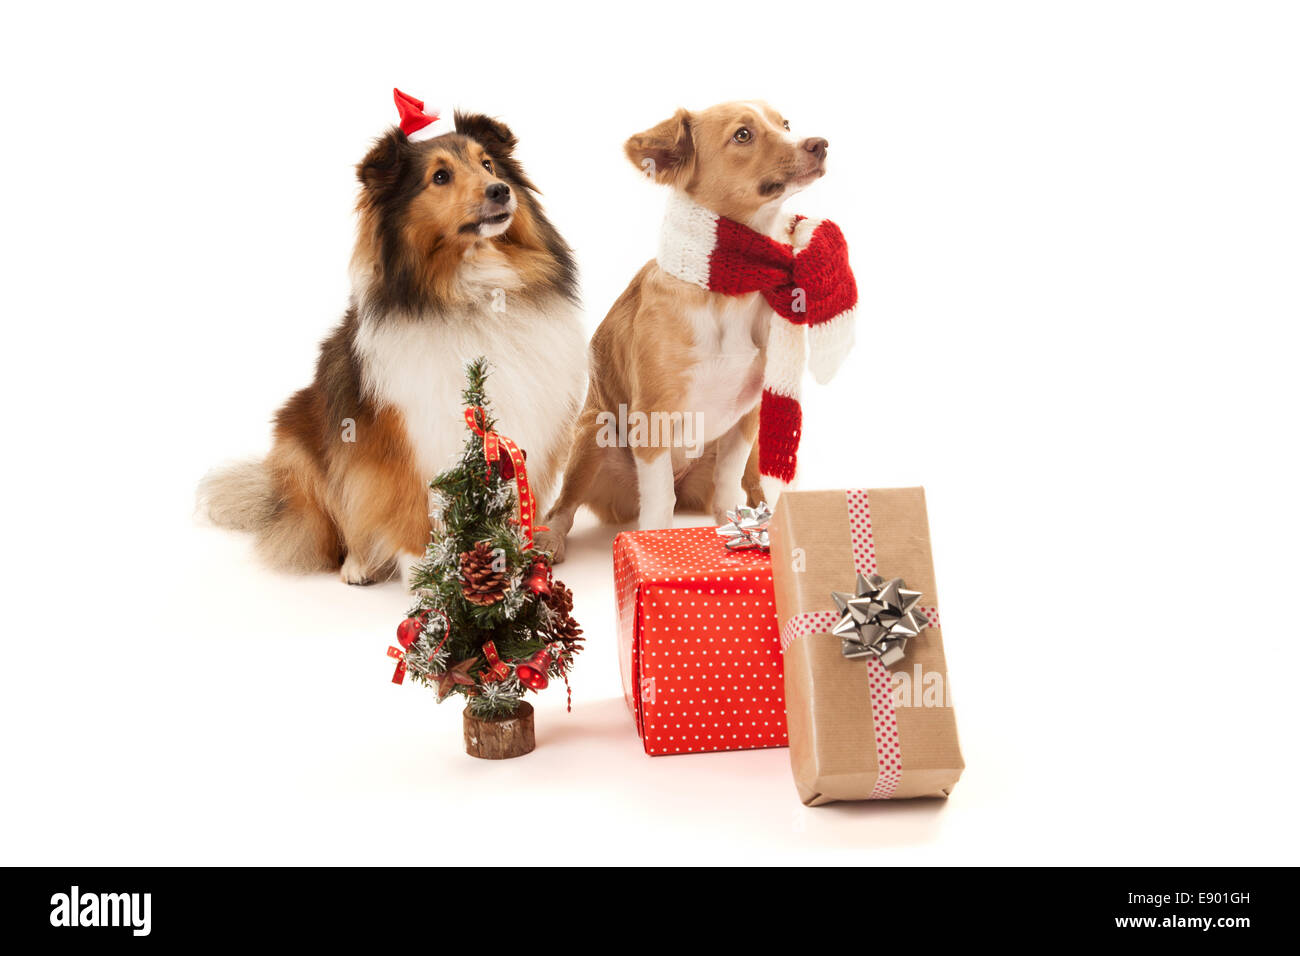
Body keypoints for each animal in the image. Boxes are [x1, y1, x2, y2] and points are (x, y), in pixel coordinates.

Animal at [201, 104, 585, 582]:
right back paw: (359, 564)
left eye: (487, 164)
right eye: (440, 176)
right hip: (301, 447)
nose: (500, 191)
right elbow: (409, 506)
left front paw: (509, 565)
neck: (472, 291)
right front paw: (427, 573)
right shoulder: (403, 436)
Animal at [538, 98, 842, 561]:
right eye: (743, 135)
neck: (728, 289)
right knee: (565, 505)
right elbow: (658, 503)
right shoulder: (653, 419)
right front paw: (655, 546)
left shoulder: (746, 417)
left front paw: (737, 532)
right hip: (593, 431)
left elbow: (728, 486)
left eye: (786, 123)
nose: (819, 144)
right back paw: (551, 538)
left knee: (750, 484)